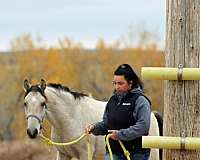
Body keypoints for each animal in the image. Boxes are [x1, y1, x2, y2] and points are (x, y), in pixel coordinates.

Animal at [23, 79, 162, 159]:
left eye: (43, 103)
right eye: (25, 103)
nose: (32, 132)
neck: (71, 117)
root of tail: (152, 114)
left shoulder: (85, 154)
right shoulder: (63, 154)